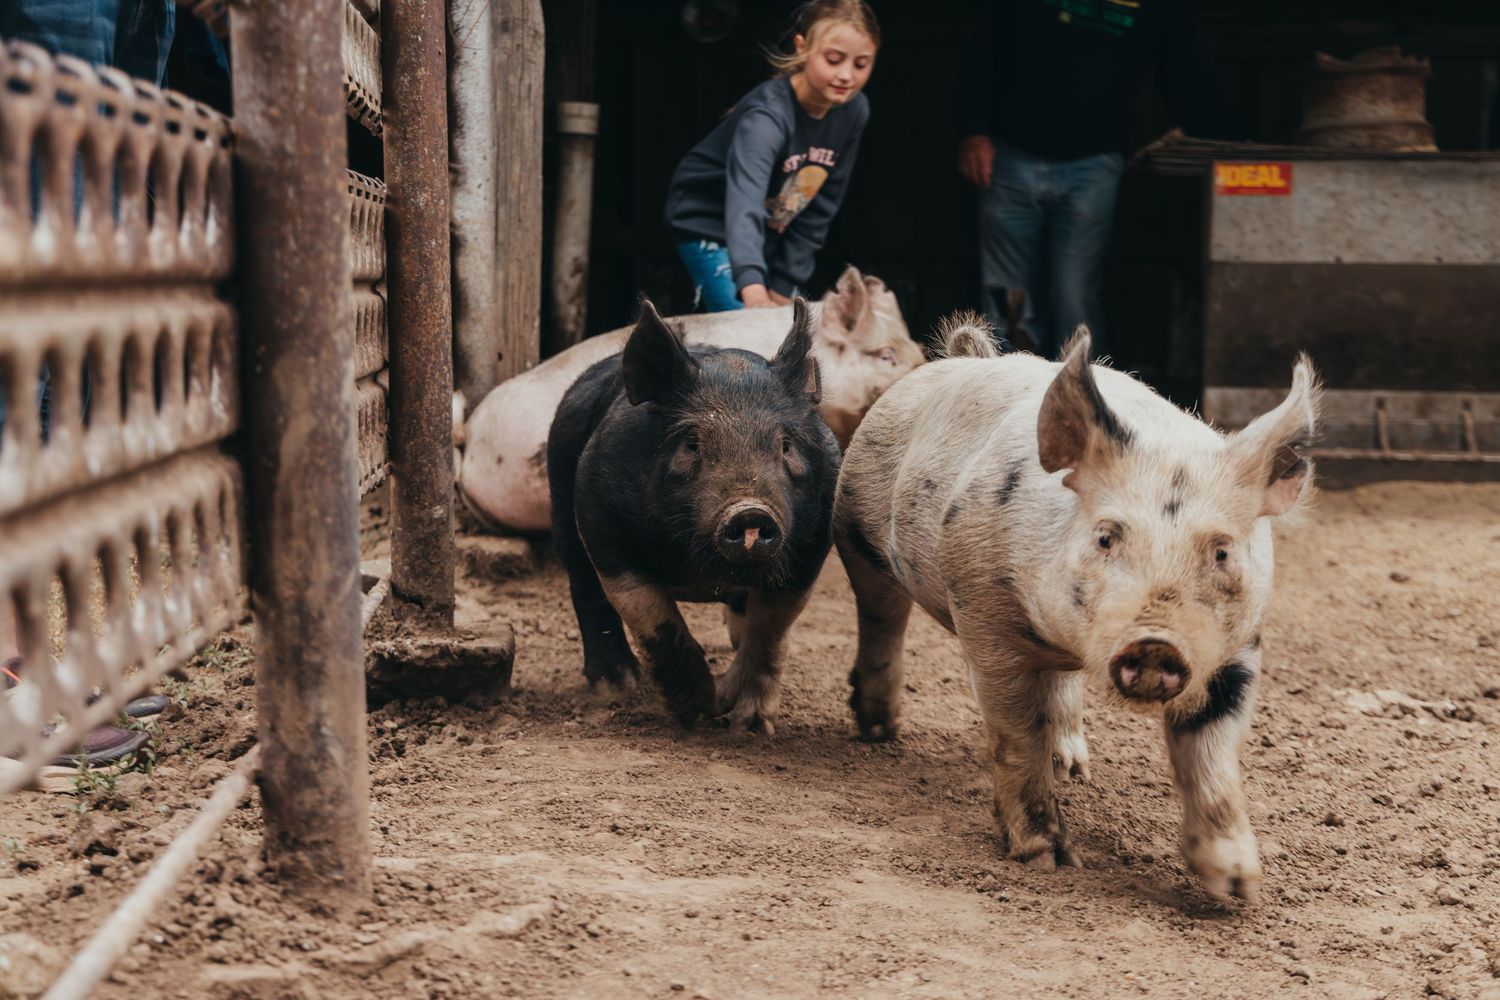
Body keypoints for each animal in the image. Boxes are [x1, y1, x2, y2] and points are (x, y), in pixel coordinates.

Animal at [550, 297, 841, 732]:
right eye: (692, 444)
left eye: (786, 445)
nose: (749, 510)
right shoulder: (599, 517)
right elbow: (651, 613)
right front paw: (699, 711)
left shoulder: (811, 547)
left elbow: (770, 630)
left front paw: (752, 724)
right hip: (562, 495)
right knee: (584, 588)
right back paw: (617, 686)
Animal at [833, 315, 1320, 902]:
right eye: (1106, 537)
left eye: (1222, 551)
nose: (1155, 642)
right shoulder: (983, 613)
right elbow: (1017, 734)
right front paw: (1049, 860)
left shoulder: (1240, 646)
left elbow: (1212, 754)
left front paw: (1238, 886)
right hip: (854, 525)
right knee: (881, 618)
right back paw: (879, 730)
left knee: (1060, 685)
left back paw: (1073, 768)